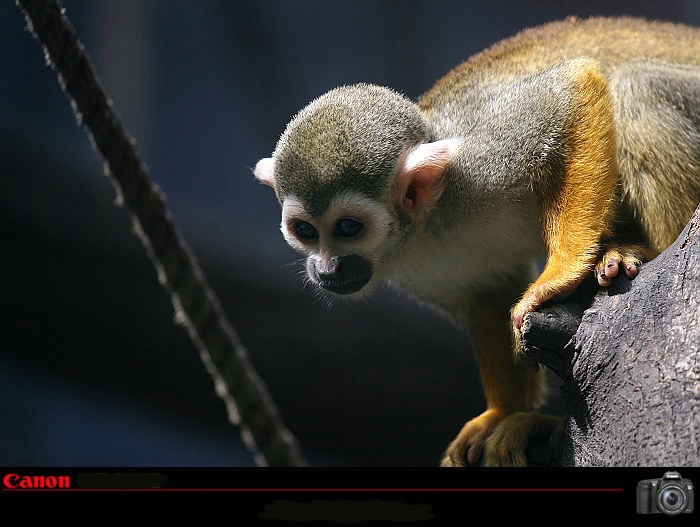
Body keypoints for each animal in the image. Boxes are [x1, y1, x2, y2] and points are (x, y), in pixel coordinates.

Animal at [252, 17, 700, 466]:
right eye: (306, 231)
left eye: (347, 228)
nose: (326, 268)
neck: (428, 223)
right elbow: (488, 292)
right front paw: (502, 414)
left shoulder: (479, 161)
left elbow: (572, 88)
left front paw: (561, 271)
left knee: (635, 89)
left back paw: (644, 252)